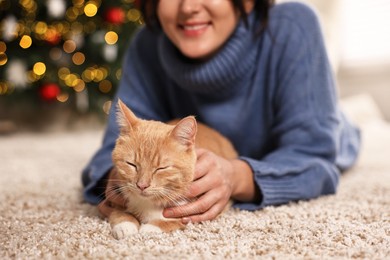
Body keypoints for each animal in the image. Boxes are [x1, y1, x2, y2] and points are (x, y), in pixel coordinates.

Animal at [109, 100, 238, 240]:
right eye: (131, 164)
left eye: (161, 168)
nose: (142, 185)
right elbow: (117, 211)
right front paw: (125, 224)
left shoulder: (193, 213)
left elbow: (173, 221)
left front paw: (149, 228)